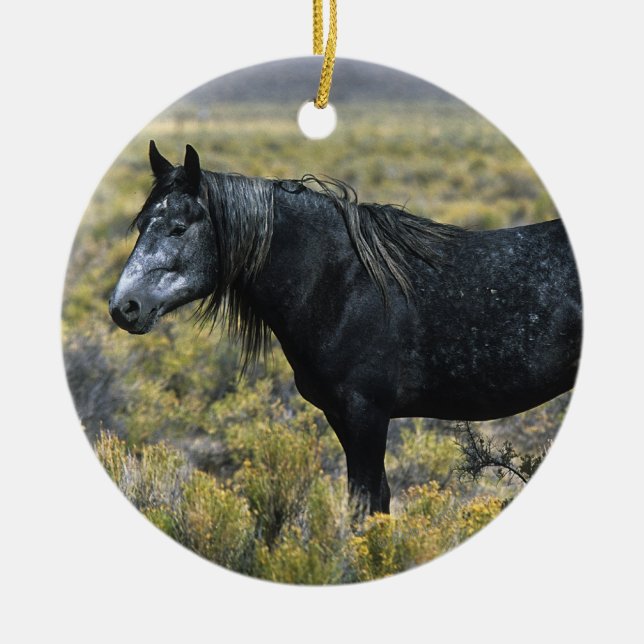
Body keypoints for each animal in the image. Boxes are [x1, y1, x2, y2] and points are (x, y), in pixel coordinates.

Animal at [109, 141, 582, 514]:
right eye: (141, 224)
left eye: (178, 228)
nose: (123, 307)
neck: (339, 280)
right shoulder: (340, 415)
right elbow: (374, 503)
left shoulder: (366, 414)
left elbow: (364, 503)